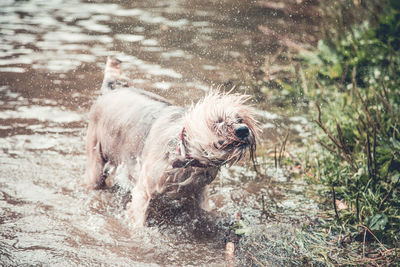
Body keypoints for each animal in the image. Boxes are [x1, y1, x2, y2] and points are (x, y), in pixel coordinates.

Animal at [85, 57, 260, 227]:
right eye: (219, 121)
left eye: (240, 119)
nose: (243, 130)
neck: (188, 156)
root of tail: (111, 89)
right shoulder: (143, 191)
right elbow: (139, 222)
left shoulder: (201, 190)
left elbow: (206, 208)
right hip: (96, 163)